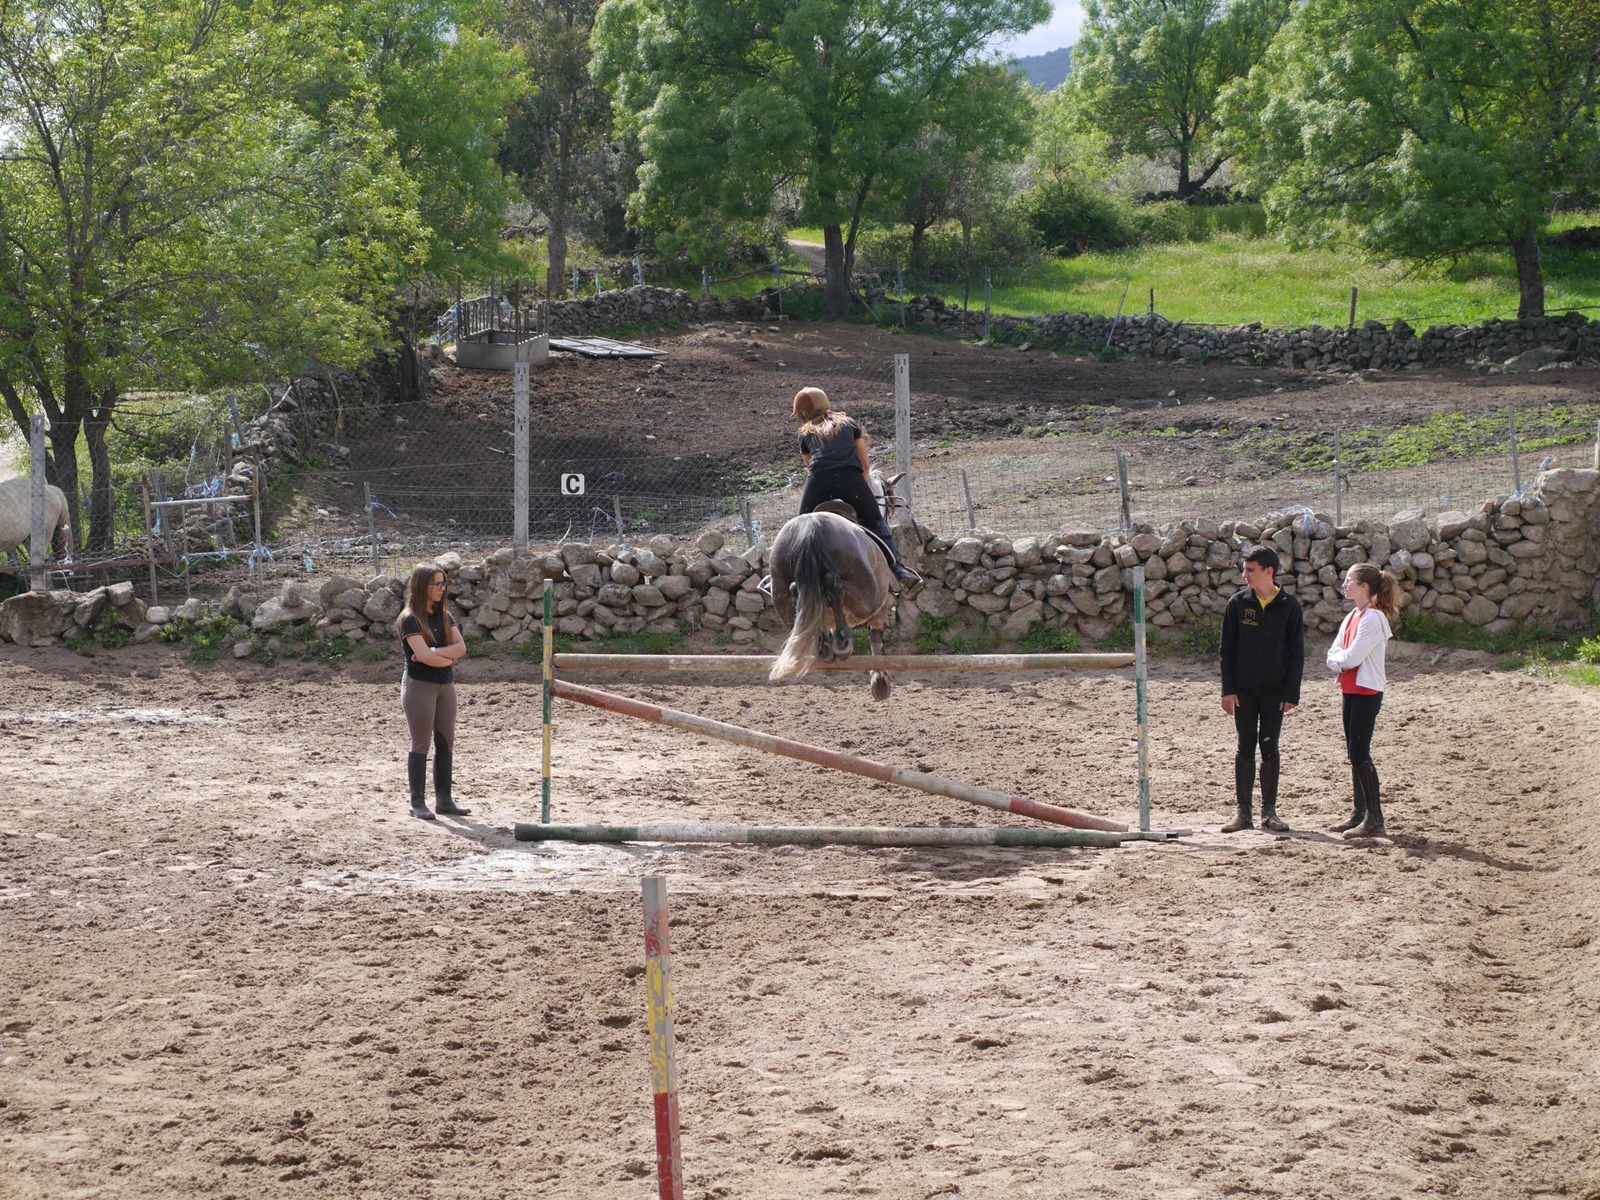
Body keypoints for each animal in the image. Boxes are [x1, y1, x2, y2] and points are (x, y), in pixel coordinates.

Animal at [764, 508, 902, 704]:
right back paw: (842, 642)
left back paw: (825, 645)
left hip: (782, 589)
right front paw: (880, 682)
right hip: (867, 598)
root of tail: (809, 528)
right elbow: (876, 639)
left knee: (797, 591)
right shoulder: (880, 610)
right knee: (835, 586)